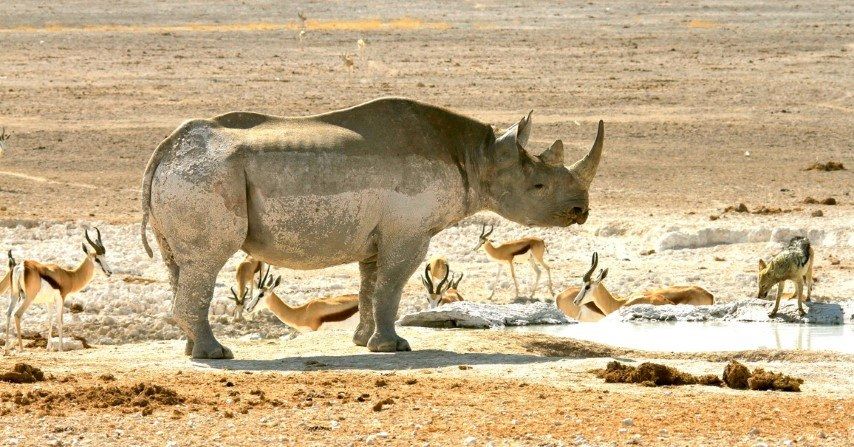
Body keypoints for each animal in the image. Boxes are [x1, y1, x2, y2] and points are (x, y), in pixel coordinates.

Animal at [140, 97, 604, 358]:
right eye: (539, 186)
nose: (580, 211)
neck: (480, 157)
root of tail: (166, 148)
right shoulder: (408, 232)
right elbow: (393, 285)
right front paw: (394, 348)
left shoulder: (377, 234)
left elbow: (370, 285)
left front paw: (363, 343)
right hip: (205, 175)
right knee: (207, 260)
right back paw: (217, 355)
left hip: (191, 174)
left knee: (179, 264)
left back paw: (192, 350)